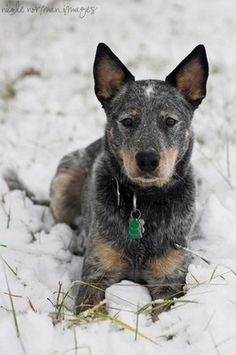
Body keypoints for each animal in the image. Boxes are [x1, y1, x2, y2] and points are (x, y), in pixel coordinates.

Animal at [49, 42, 208, 320]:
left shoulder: (169, 279)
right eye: (127, 121)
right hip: (63, 181)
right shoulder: (96, 275)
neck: (143, 201)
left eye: (170, 121)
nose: (147, 159)